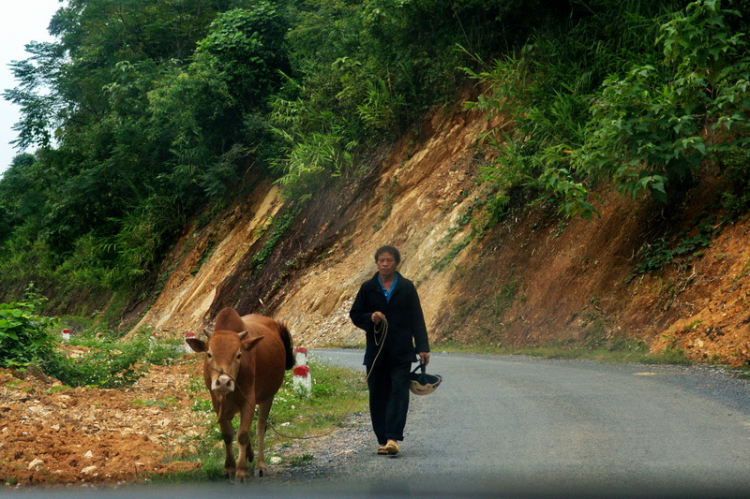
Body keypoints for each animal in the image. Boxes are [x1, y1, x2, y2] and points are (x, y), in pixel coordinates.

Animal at [187, 308, 296, 480]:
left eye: (239, 355)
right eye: (209, 354)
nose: (223, 382)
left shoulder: (248, 400)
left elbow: (243, 434)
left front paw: (241, 470)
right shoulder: (217, 402)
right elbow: (227, 435)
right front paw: (229, 467)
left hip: (267, 397)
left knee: (260, 428)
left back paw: (260, 465)